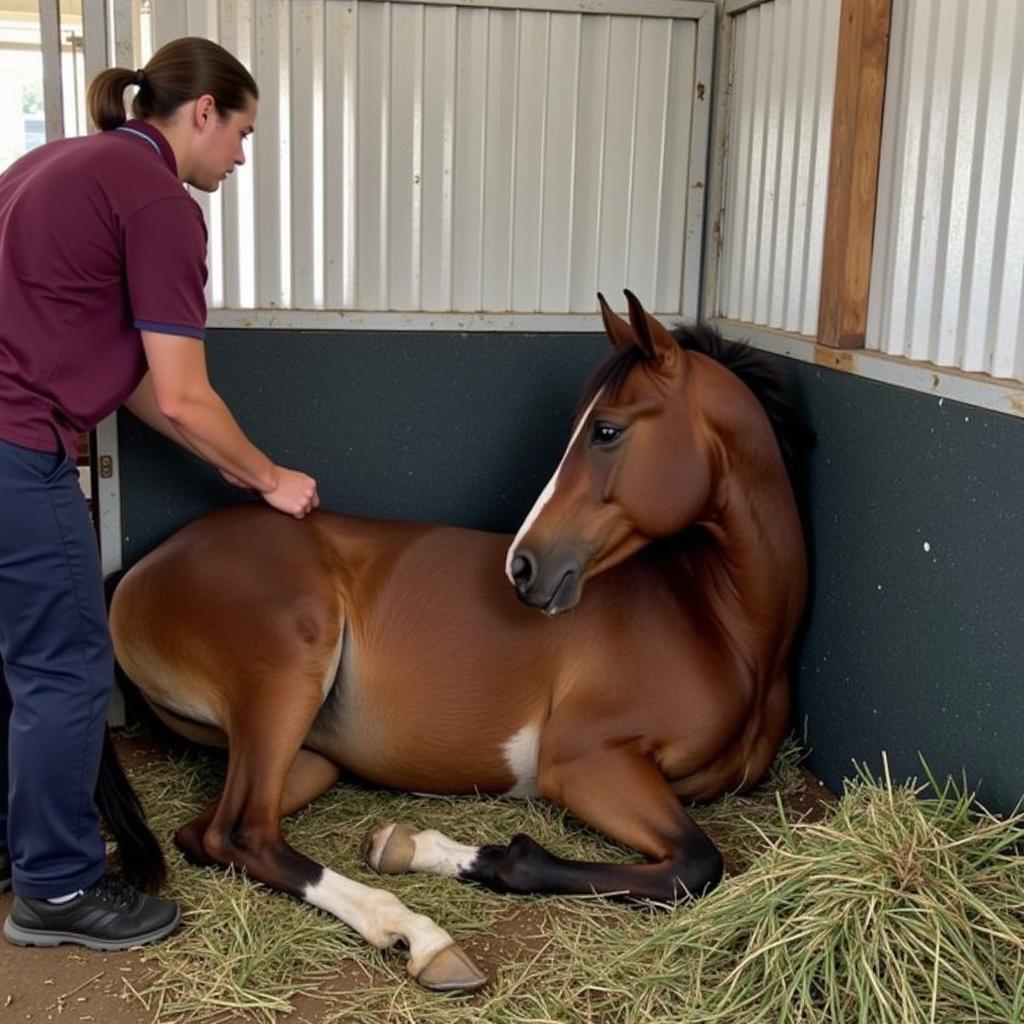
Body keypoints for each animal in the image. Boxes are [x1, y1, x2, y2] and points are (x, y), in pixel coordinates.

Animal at [105, 292, 806, 995]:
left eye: (606, 430)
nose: (523, 566)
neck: (718, 623)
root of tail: (139, 572)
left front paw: (418, 846)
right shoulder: (585, 761)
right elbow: (694, 865)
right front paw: (451, 853)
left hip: (308, 757)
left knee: (206, 834)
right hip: (289, 672)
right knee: (244, 833)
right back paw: (419, 934)